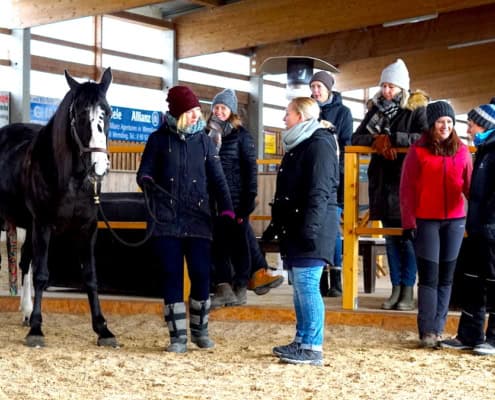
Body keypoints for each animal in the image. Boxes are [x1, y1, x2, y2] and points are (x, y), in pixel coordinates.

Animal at [0, 69, 116, 346]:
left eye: (108, 112)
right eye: (81, 114)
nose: (99, 165)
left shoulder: (87, 228)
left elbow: (90, 277)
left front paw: (102, 329)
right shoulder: (44, 225)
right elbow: (42, 274)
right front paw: (36, 329)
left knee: (24, 261)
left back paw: (26, 311)